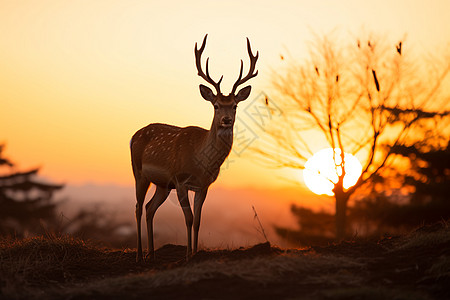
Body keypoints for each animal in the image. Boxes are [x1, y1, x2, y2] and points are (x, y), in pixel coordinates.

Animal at [128, 34, 258, 262]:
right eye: (216, 105)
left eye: (234, 105)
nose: (226, 120)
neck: (201, 162)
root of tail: (133, 136)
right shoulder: (180, 180)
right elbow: (188, 218)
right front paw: (188, 254)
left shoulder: (203, 186)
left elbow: (197, 220)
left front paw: (195, 253)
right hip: (139, 172)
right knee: (138, 207)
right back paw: (139, 255)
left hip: (162, 185)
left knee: (150, 208)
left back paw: (152, 253)